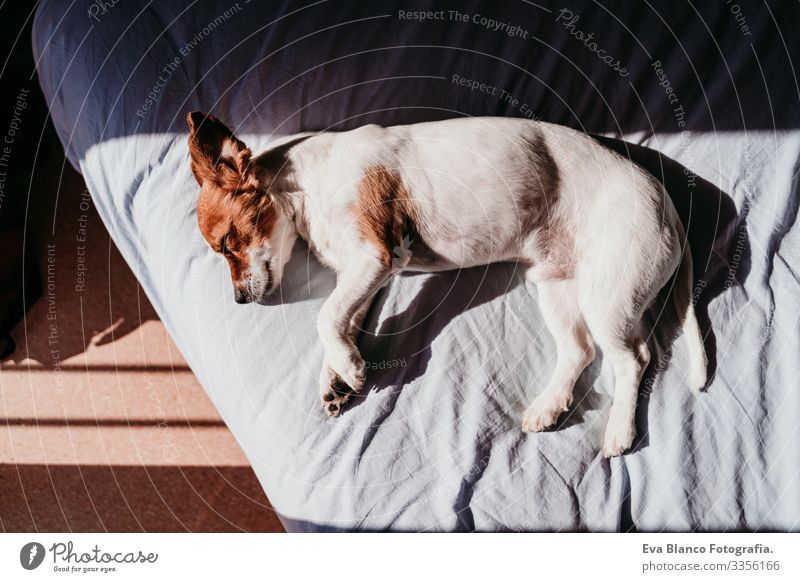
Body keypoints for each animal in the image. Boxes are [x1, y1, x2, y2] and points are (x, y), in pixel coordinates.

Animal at [188, 112, 708, 458]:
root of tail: (668, 204)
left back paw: (619, 432)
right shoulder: (371, 275)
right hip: (555, 286)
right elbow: (343, 325)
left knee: (634, 358)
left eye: (227, 243)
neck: (304, 188)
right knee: (580, 351)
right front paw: (335, 379)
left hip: (608, 298)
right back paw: (548, 406)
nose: (239, 300)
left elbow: (326, 315)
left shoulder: (374, 256)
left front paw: (349, 371)